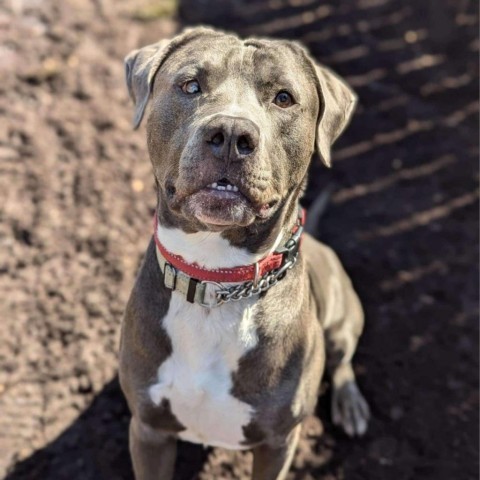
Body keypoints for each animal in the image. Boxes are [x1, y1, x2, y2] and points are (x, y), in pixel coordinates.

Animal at [118, 27, 370, 480]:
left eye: (284, 98)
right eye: (191, 85)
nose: (233, 135)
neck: (214, 282)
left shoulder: (277, 443)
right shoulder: (148, 430)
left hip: (342, 318)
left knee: (343, 361)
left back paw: (350, 404)